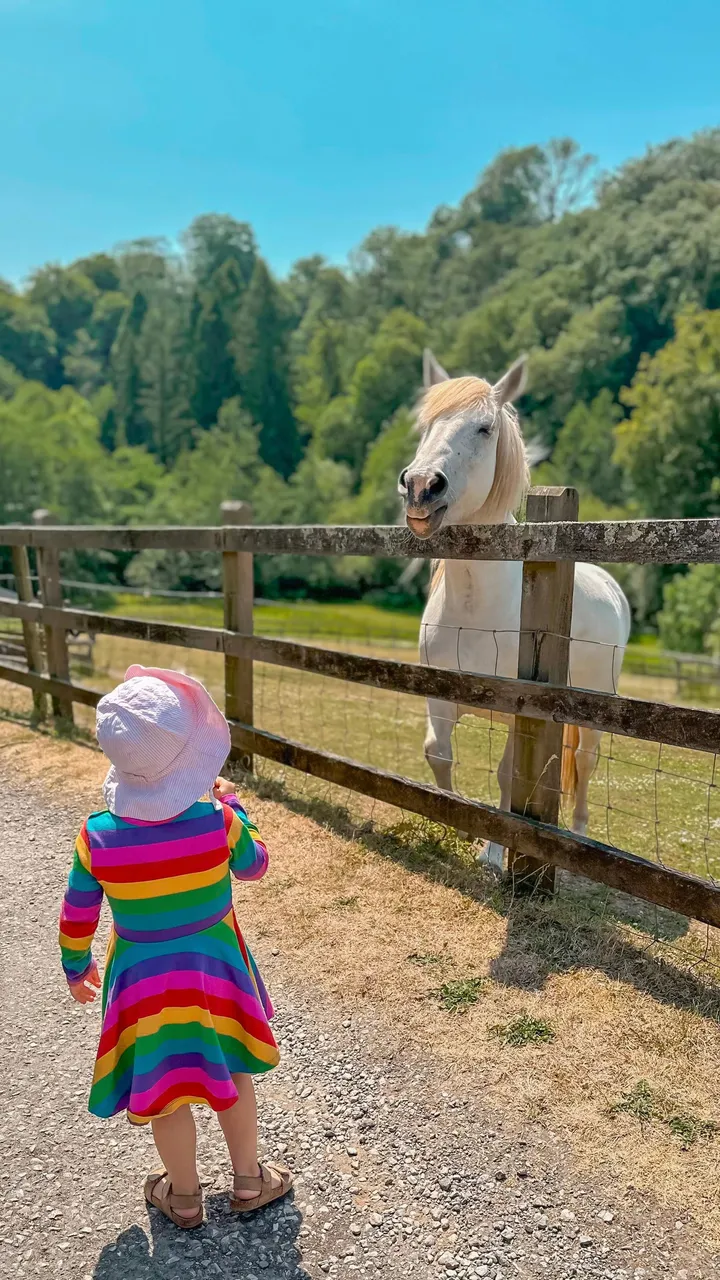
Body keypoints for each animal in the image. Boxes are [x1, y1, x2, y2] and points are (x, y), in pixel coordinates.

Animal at [397, 349, 631, 870]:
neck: (476, 605)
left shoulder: (518, 709)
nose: (420, 486)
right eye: (425, 425)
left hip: (593, 710)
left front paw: (495, 851)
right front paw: (458, 822)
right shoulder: (439, 697)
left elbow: (508, 776)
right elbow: (437, 754)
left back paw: (578, 834)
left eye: (484, 428)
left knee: (584, 763)